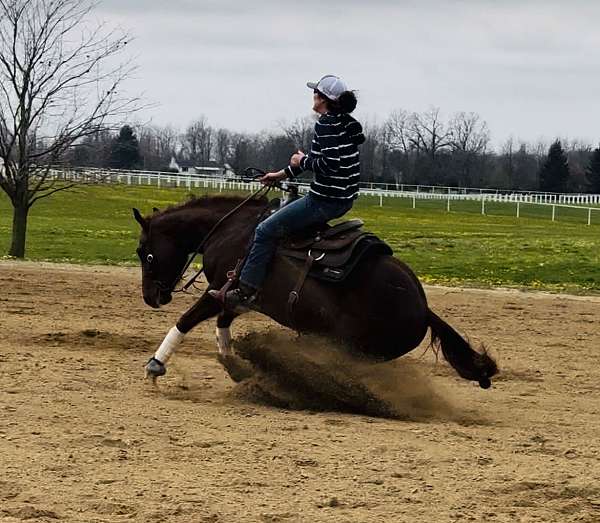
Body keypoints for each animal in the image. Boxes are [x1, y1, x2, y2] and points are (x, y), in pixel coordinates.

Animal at [134, 194, 500, 390]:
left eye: (144, 253)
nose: (151, 297)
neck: (233, 231)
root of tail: (424, 309)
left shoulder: (219, 288)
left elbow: (187, 319)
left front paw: (155, 365)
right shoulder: (236, 295)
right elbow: (222, 325)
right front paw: (235, 366)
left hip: (354, 347)